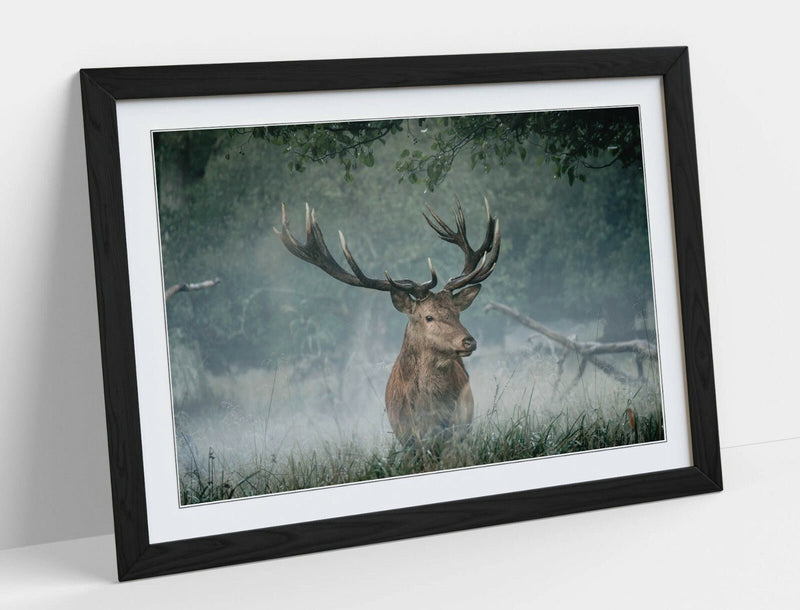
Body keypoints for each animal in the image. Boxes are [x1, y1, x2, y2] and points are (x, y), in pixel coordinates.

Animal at [274, 199, 500, 447]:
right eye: (428, 316)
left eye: (457, 313)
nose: (469, 341)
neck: (430, 416)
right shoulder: (407, 437)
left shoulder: (458, 432)